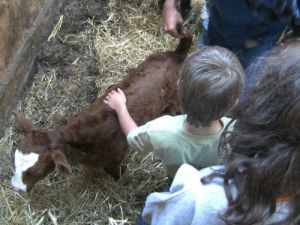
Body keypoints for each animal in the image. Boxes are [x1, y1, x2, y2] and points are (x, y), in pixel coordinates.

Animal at [9, 35, 192, 192]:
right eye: (15, 160)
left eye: (37, 171)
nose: (15, 188)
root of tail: (176, 54)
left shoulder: (114, 160)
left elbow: (116, 175)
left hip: (174, 100)